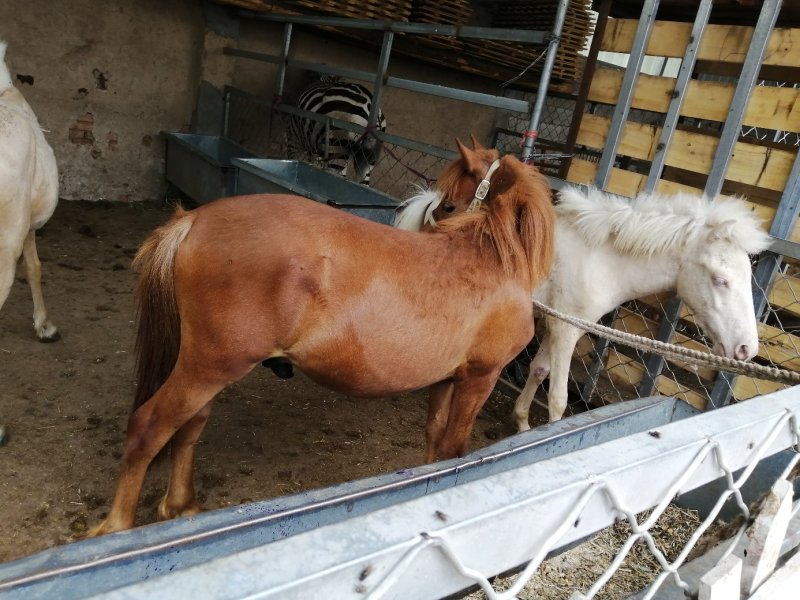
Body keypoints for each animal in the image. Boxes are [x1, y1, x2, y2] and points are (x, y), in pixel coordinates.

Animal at [88, 139, 555, 535]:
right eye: (448, 205)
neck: (491, 260)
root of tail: (193, 220)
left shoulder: (447, 380)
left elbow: (435, 443)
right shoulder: (480, 376)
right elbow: (454, 450)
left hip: (207, 367)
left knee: (189, 425)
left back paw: (180, 506)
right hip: (208, 368)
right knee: (148, 428)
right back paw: (116, 529)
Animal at [395, 150, 772, 428]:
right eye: (721, 279)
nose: (746, 349)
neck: (600, 260)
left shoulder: (558, 324)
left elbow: (539, 370)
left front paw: (522, 424)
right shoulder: (567, 330)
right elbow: (558, 397)